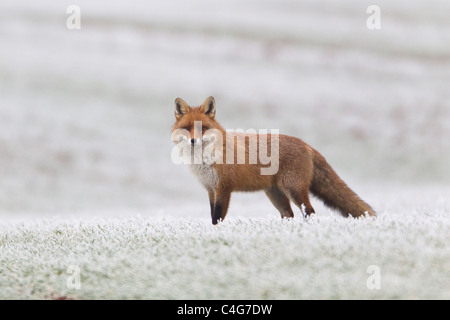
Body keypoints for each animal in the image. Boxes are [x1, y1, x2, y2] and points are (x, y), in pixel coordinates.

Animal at [171, 96, 374, 224]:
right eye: (187, 128)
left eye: (202, 128)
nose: (193, 141)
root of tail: (306, 144)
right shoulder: (210, 189)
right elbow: (212, 214)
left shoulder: (224, 188)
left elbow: (217, 217)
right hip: (275, 194)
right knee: (289, 214)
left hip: (294, 189)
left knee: (309, 211)